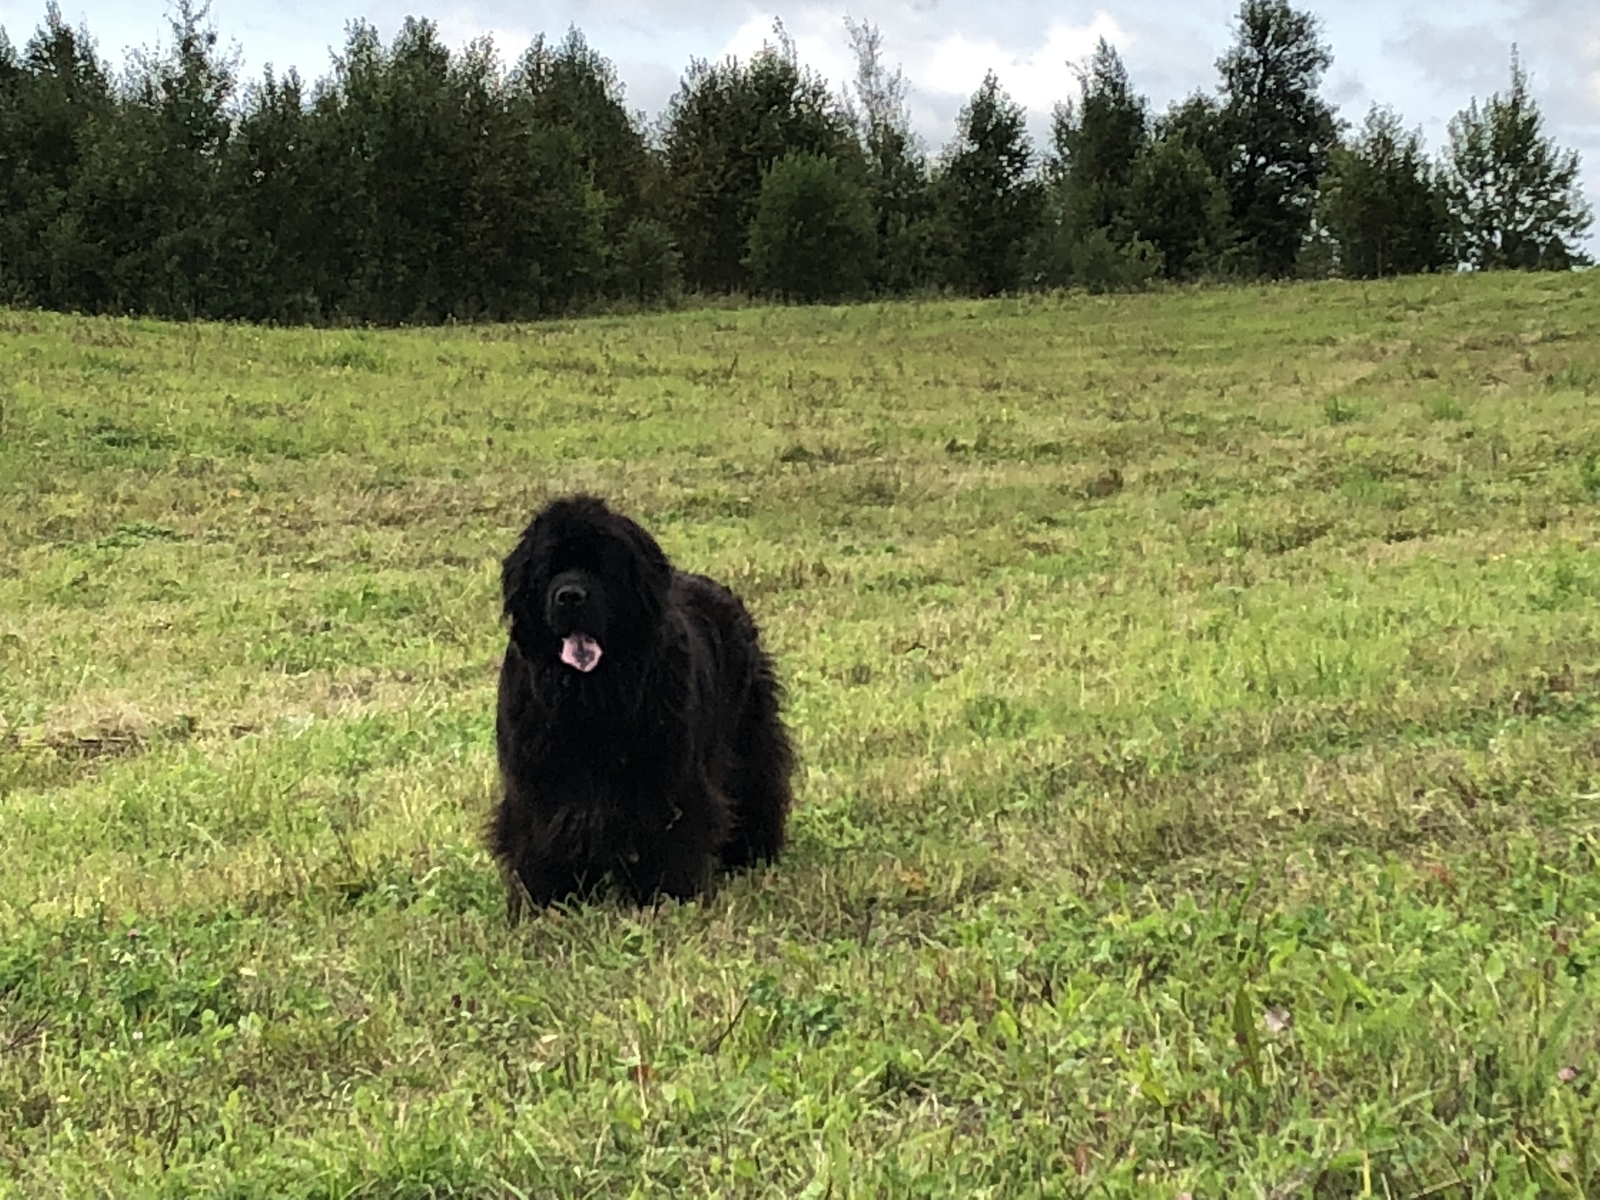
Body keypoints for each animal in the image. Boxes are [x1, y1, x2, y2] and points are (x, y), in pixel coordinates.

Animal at [483, 492, 790, 915]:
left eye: (601, 566)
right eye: (549, 568)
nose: (570, 596)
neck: (590, 698)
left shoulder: (667, 781)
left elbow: (670, 836)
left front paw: (665, 896)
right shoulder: (540, 782)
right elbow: (542, 838)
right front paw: (549, 900)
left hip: (747, 733)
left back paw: (752, 854)